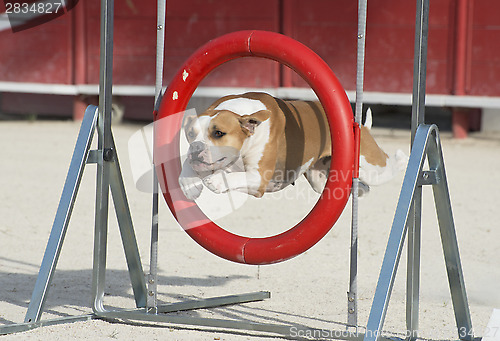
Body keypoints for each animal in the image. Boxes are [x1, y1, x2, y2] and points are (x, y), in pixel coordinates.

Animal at [180, 91, 406, 201]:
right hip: (320, 180)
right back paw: (359, 189)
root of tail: (360, 126)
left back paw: (401, 159)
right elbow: (187, 167)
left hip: (373, 167)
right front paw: (189, 184)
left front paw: (215, 181)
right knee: (356, 187)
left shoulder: (259, 179)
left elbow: (233, 176)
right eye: (190, 134)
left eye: (219, 133)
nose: (196, 148)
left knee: (388, 166)